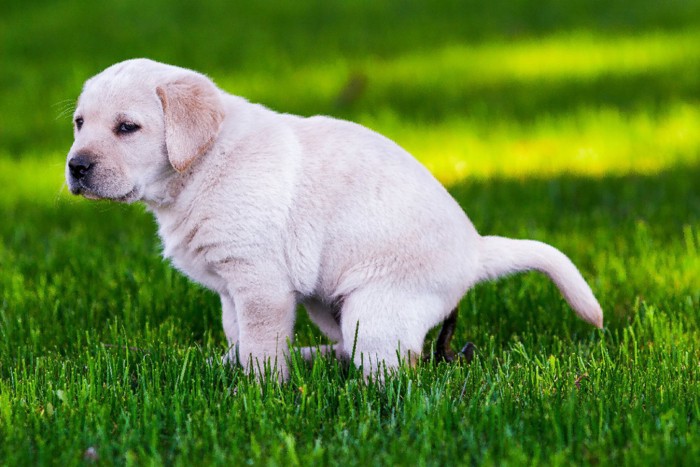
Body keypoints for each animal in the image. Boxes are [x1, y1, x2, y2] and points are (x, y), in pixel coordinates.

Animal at [65, 59, 600, 380]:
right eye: (79, 123)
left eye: (127, 127)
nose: (75, 166)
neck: (201, 166)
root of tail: (476, 248)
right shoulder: (232, 290)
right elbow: (239, 336)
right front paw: (233, 369)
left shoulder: (261, 284)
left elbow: (260, 347)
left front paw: (255, 396)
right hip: (328, 306)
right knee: (349, 349)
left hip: (376, 307)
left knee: (396, 369)